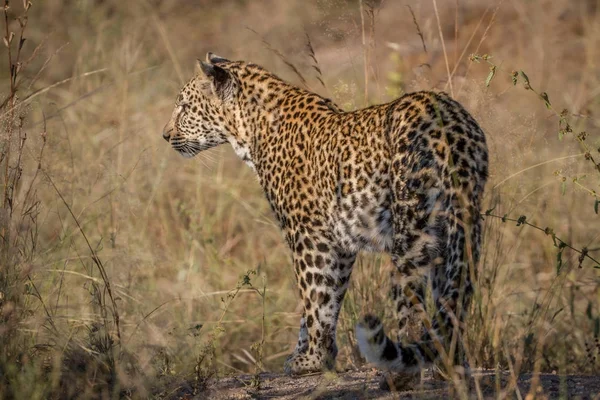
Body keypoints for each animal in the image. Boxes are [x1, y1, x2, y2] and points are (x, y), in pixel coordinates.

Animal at [163, 52, 488, 378]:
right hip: (458, 231)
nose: (165, 136)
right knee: (452, 301)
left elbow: (314, 295)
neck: (248, 130)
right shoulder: (339, 243)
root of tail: (449, 123)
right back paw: (451, 364)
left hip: (411, 234)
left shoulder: (308, 234)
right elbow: (325, 301)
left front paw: (313, 360)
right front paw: (312, 355)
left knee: (412, 304)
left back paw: (404, 373)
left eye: (185, 107)